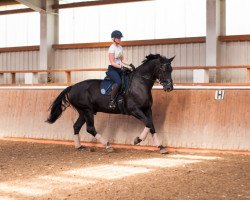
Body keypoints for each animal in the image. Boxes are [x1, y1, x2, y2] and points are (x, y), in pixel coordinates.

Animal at [46, 54, 174, 154]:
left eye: (171, 70)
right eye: (163, 69)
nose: (169, 87)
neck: (140, 83)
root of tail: (72, 87)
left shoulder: (147, 109)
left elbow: (151, 125)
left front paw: (161, 147)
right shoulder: (134, 110)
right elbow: (148, 123)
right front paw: (137, 140)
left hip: (83, 112)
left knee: (76, 126)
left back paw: (80, 146)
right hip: (87, 111)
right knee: (90, 128)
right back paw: (108, 145)